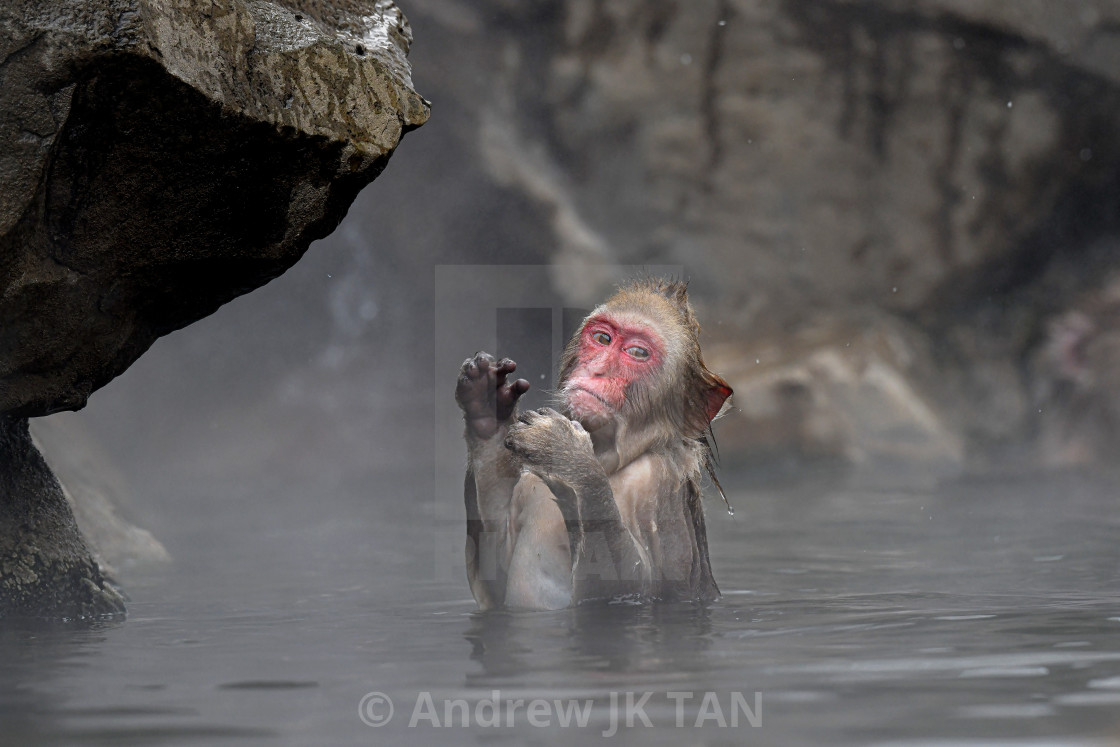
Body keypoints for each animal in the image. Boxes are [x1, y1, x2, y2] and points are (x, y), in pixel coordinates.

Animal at [456, 277, 734, 609]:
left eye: (638, 352)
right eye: (602, 338)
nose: (599, 368)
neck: (611, 462)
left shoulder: (658, 479)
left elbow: (629, 587)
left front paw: (571, 460)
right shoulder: (528, 484)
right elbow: (493, 580)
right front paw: (487, 409)